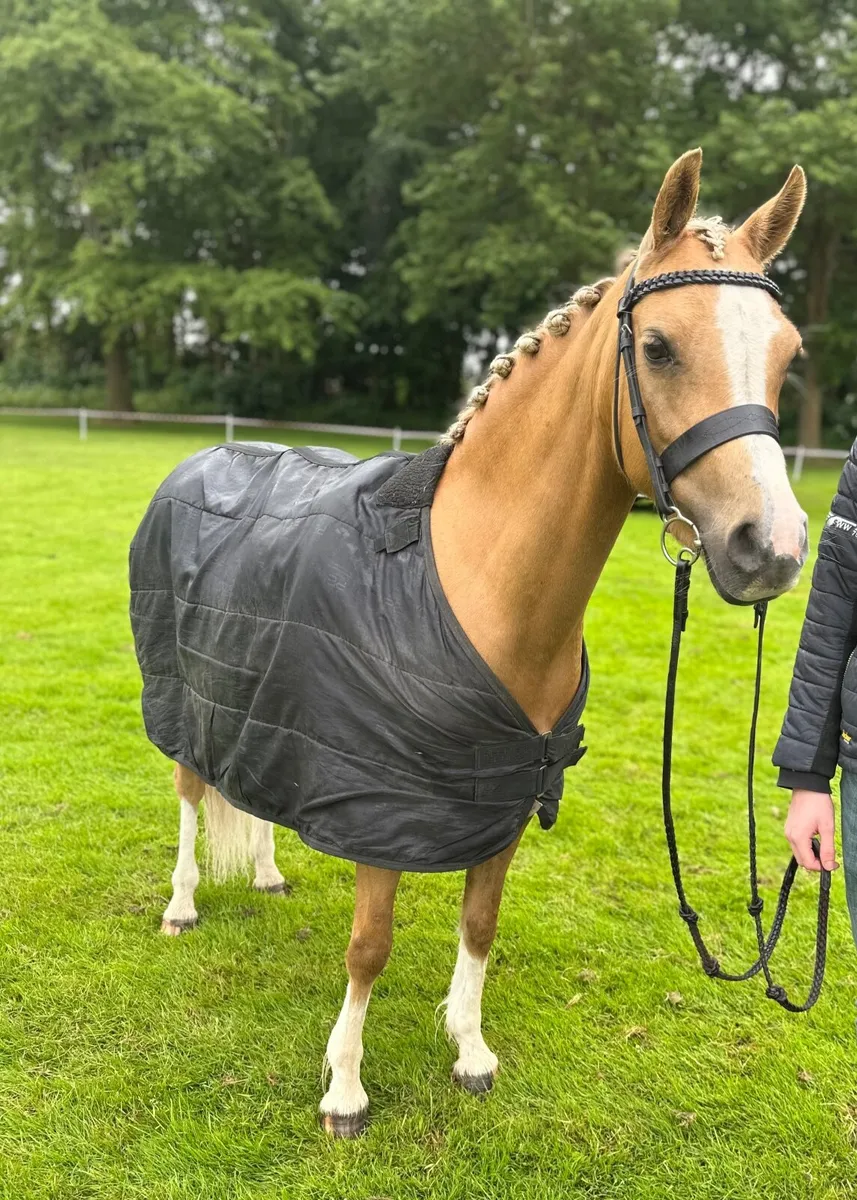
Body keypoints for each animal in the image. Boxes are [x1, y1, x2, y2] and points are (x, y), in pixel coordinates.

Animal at [133, 149, 809, 1137]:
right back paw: (183, 905)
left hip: (257, 702)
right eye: (656, 347)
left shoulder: (505, 794)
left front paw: (469, 1048)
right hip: (188, 702)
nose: (773, 547)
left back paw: (263, 874)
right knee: (191, 793)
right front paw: (345, 1089)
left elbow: (478, 925)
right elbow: (368, 946)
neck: (472, 581)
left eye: (788, 353)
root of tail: (201, 459)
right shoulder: (381, 804)